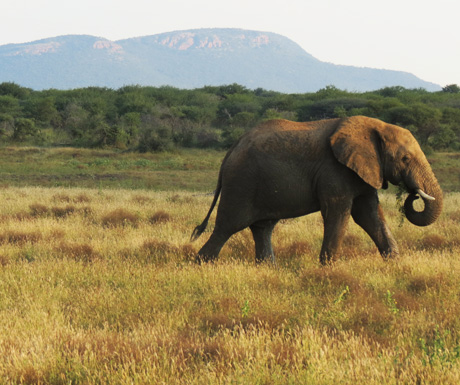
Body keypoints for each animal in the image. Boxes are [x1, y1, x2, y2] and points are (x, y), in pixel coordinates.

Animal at [190, 115, 442, 264]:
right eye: (405, 159)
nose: (413, 194)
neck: (375, 126)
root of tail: (231, 150)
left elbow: (369, 216)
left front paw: (394, 264)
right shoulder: (334, 170)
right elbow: (338, 213)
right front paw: (328, 270)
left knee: (262, 227)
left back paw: (267, 268)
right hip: (241, 182)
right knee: (227, 227)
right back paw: (202, 264)